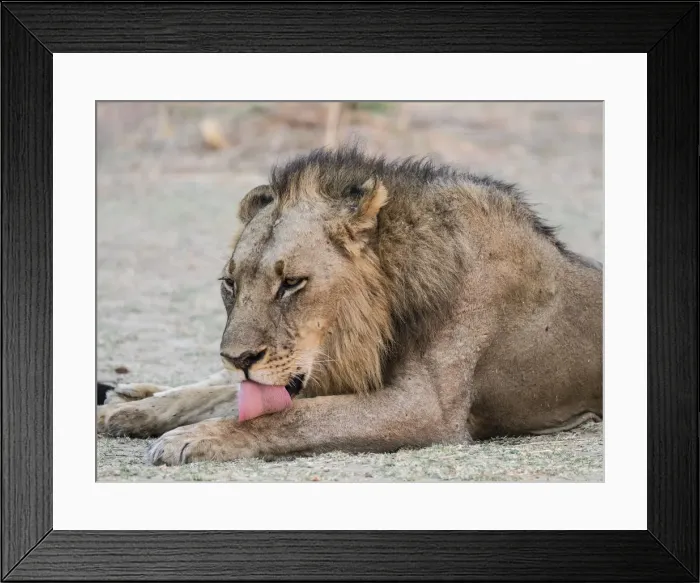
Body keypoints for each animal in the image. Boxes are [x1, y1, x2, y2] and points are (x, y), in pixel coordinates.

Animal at [97, 146, 603, 466]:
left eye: (291, 284)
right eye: (229, 284)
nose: (237, 358)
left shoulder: (426, 410)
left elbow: (293, 417)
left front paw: (192, 437)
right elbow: (229, 397)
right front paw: (130, 414)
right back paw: (125, 398)